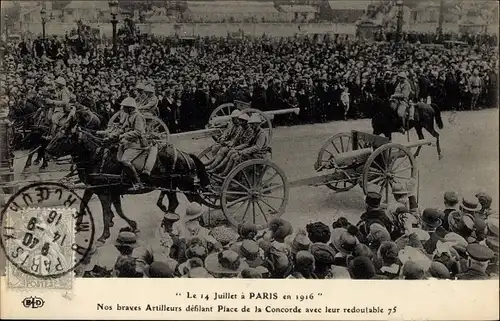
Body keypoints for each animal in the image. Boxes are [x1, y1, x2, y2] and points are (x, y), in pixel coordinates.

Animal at [46, 126, 210, 244]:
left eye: (61, 138)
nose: (46, 152)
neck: (97, 158)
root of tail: (185, 155)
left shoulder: (104, 192)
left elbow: (106, 213)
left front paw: (104, 236)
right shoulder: (96, 188)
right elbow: (95, 206)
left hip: (184, 186)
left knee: (194, 201)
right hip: (171, 186)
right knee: (175, 203)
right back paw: (168, 222)